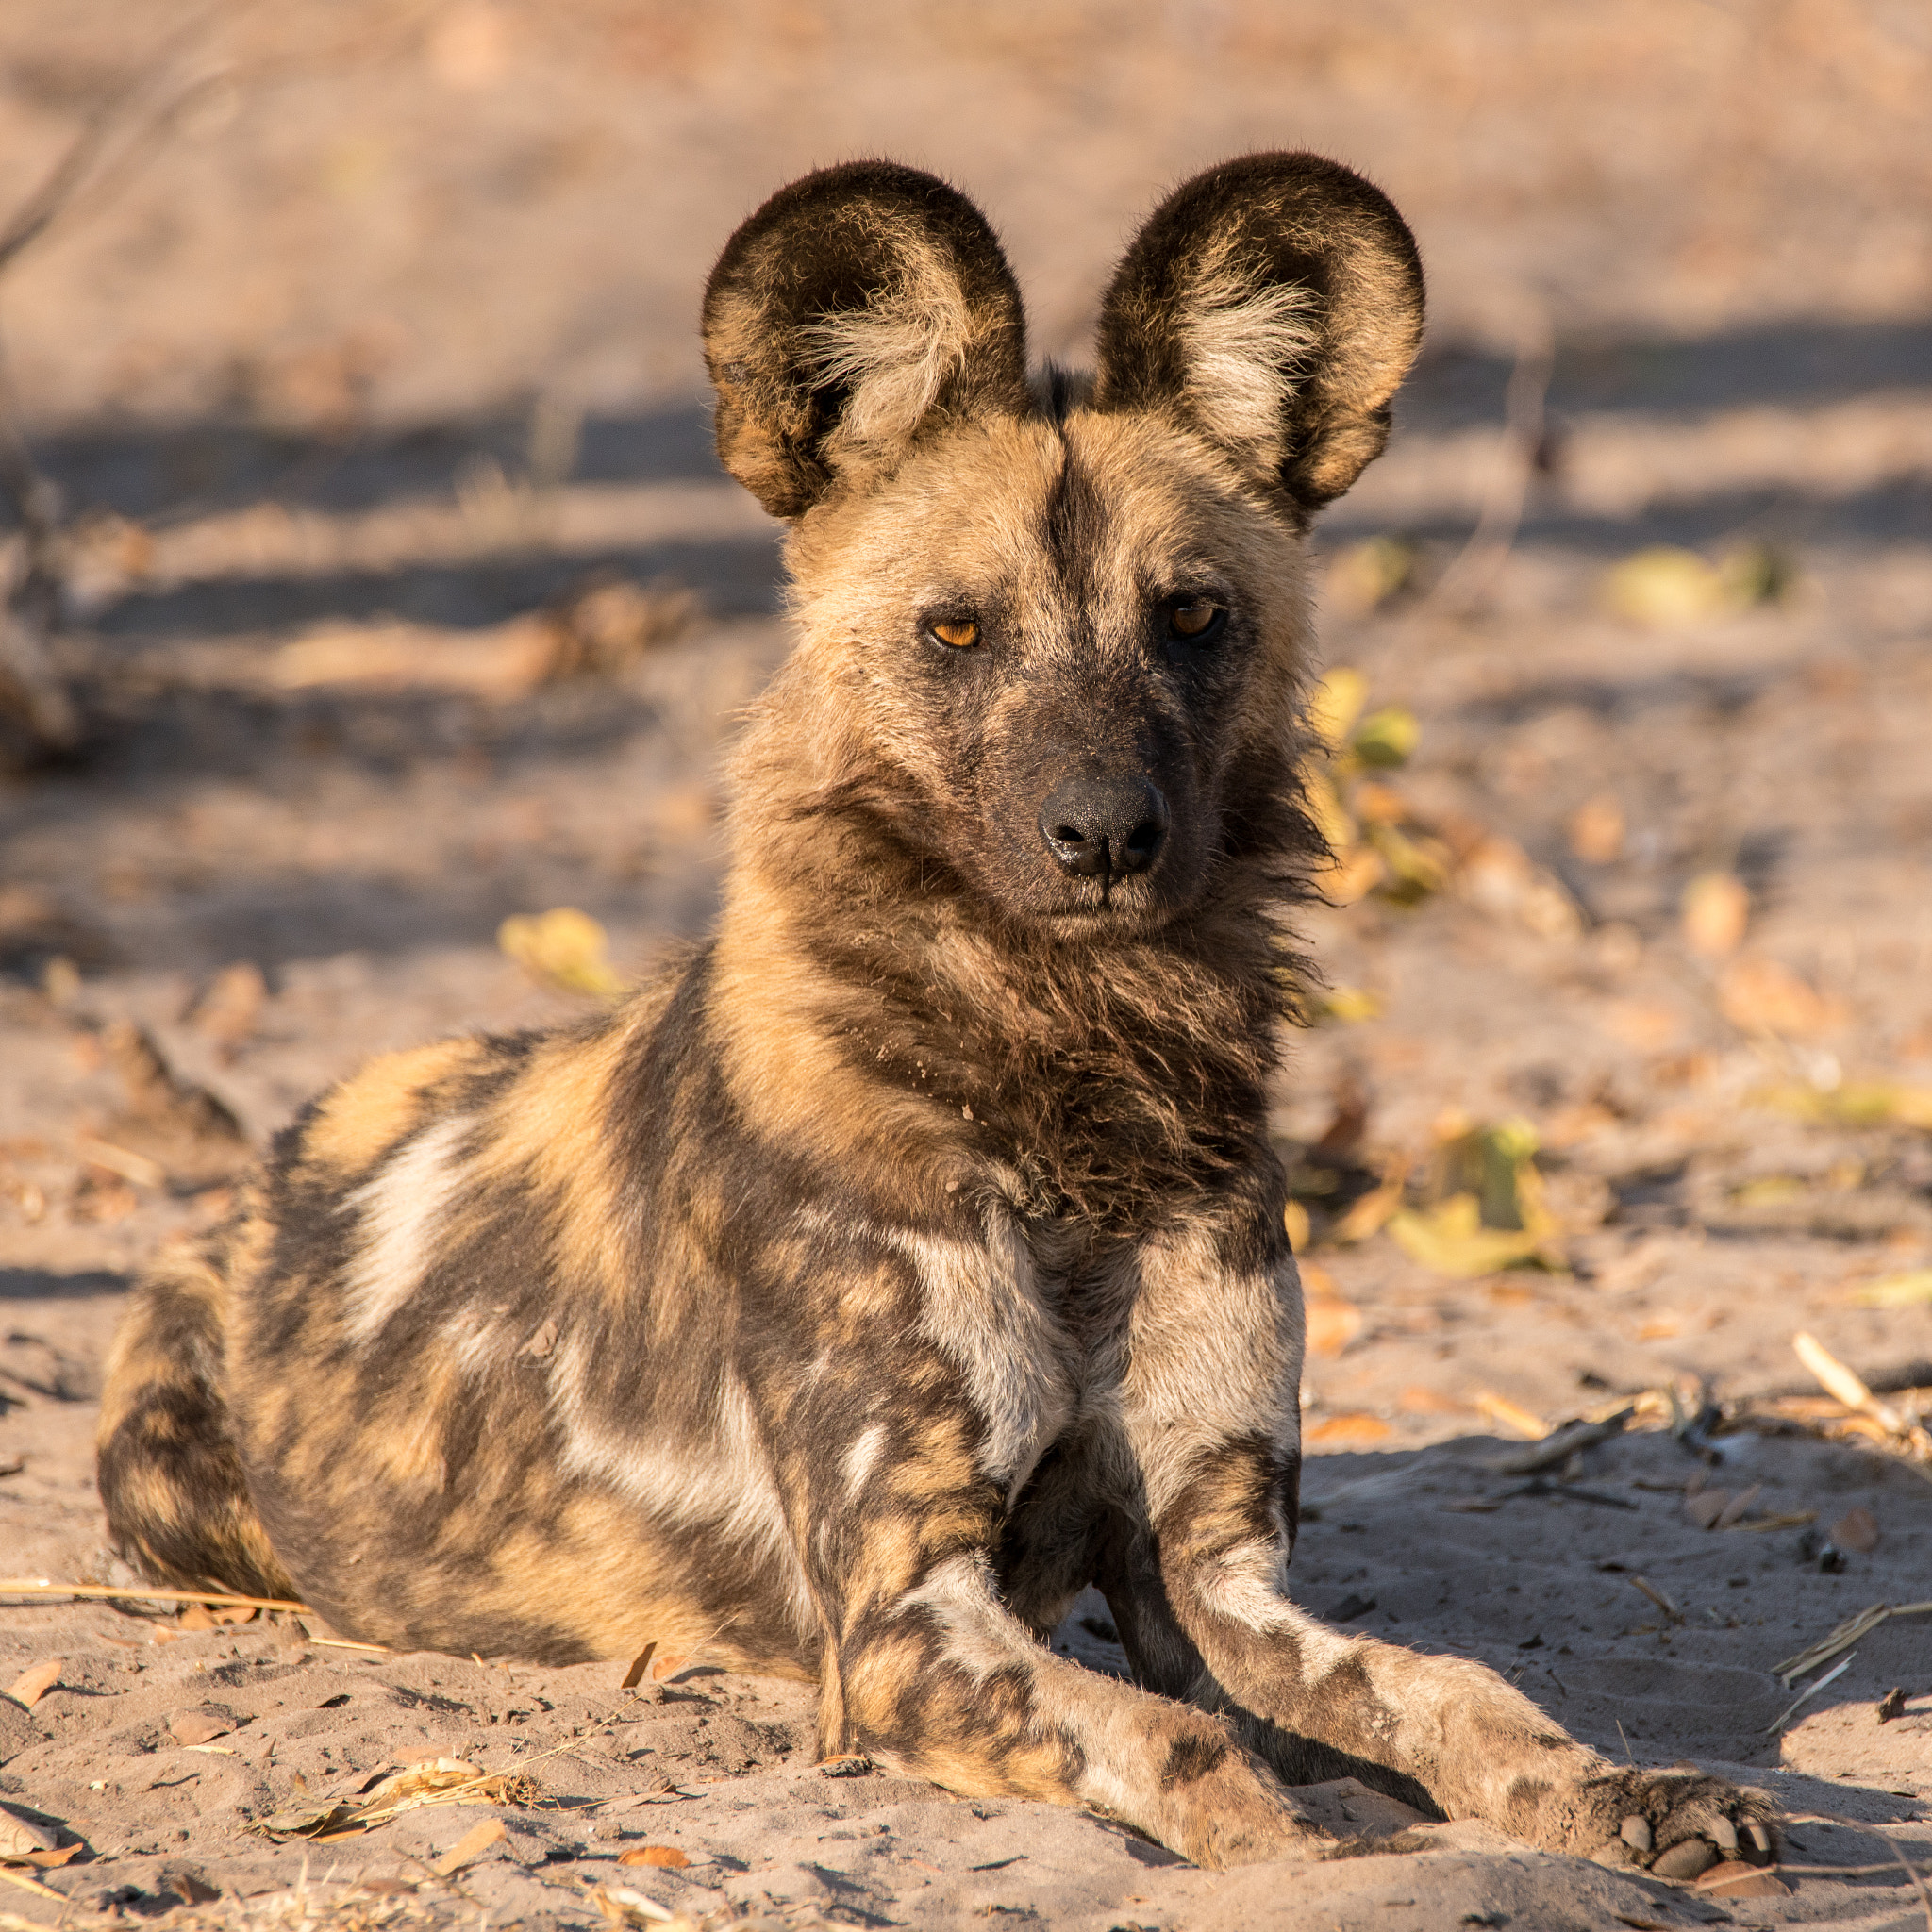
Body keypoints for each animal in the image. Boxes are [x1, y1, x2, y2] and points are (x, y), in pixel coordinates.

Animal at [97, 158, 1769, 1877]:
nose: (1103, 835)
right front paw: (1308, 1857)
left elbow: (1452, 1694)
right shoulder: (904, 1621)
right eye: (956, 629)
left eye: (1191, 617)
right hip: (167, 1479)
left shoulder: (1218, 1580)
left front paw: (1618, 1795)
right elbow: (1192, 1759)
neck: (1069, 1080)